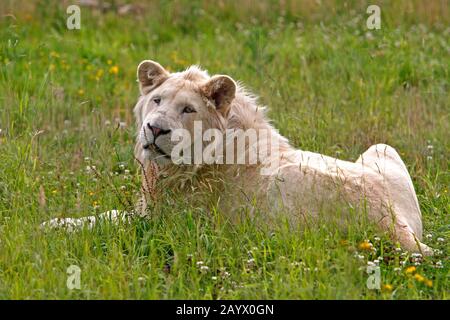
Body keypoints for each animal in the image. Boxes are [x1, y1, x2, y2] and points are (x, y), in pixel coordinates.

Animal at [42, 59, 432, 255]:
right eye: (156, 100)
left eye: (187, 109)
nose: (155, 129)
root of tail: (398, 228)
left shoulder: (162, 222)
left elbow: (106, 219)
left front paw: (54, 226)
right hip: (382, 148)